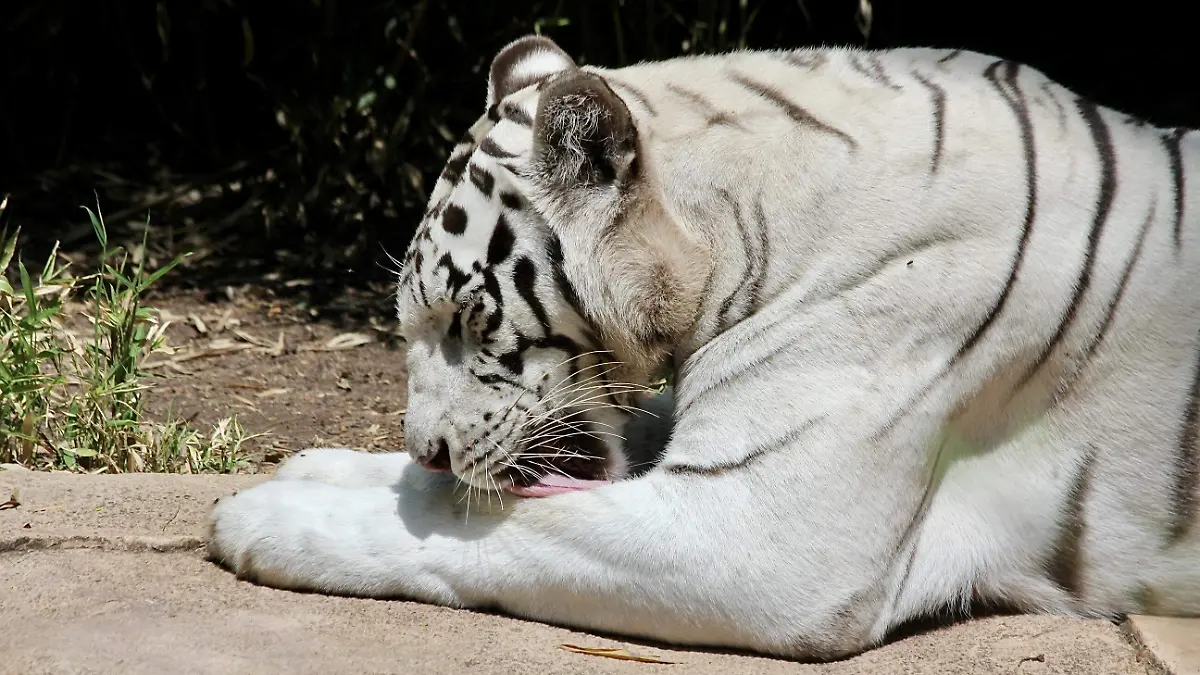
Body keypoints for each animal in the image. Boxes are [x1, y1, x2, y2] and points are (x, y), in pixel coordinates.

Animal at [206, 35, 1200, 660]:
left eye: (468, 322)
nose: (429, 446)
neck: (741, 235)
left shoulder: (762, 539)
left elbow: (492, 523)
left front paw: (265, 517)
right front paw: (324, 463)